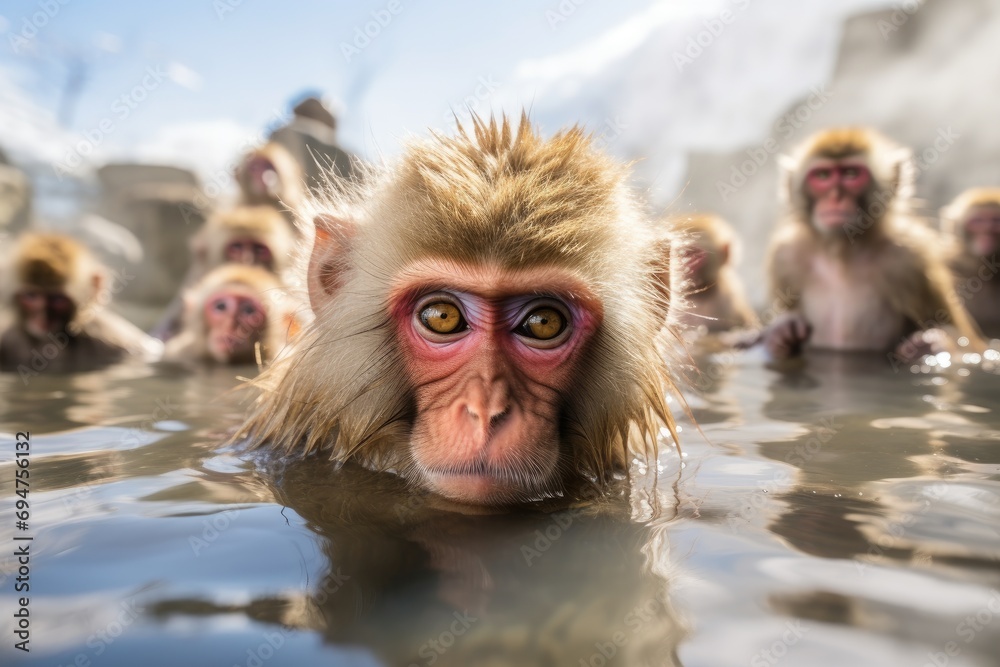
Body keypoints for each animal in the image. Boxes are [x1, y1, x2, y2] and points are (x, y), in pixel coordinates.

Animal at [763, 127, 982, 362]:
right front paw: (780, 332)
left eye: (851, 174)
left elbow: (970, 342)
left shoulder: (911, 258)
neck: (842, 253)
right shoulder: (785, 256)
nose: (835, 198)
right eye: (822, 176)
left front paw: (929, 344)